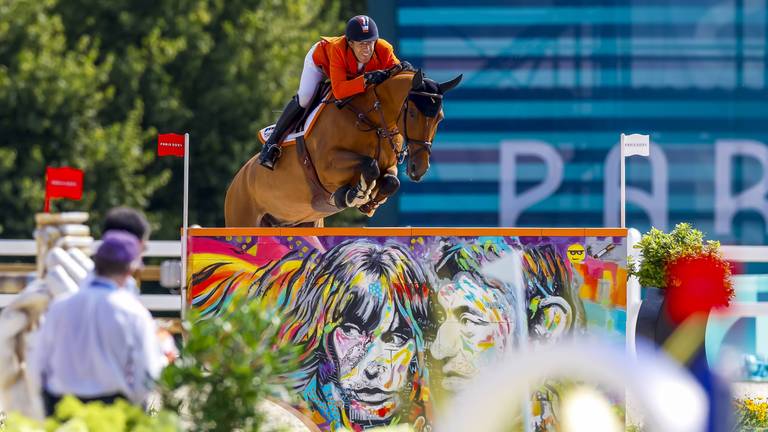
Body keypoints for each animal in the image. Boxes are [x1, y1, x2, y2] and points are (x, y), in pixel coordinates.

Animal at [224, 64, 462, 228]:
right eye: (412, 113)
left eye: (440, 118)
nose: (418, 169)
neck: (373, 120)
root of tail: (236, 182)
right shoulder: (327, 166)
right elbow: (369, 165)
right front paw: (351, 195)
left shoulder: (390, 166)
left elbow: (391, 180)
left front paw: (368, 203)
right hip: (243, 219)